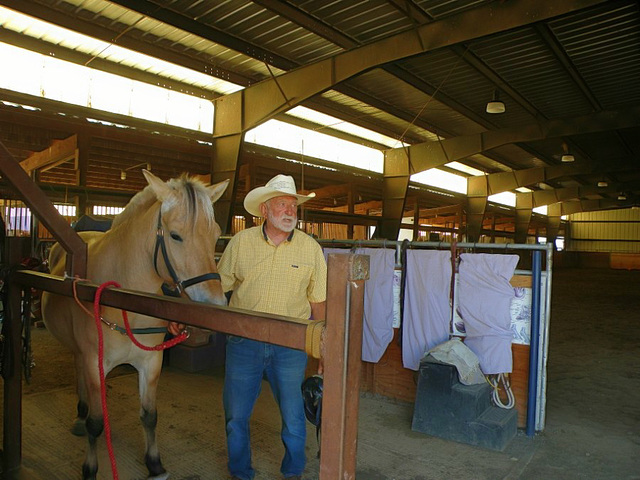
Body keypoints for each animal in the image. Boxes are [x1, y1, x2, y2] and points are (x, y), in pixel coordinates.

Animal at [41, 170, 230, 480]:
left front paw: (154, 464)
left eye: (215, 235)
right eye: (175, 235)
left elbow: (149, 416)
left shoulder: (151, 363)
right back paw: (81, 415)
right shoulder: (94, 361)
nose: (215, 304)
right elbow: (96, 423)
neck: (126, 300)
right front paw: (90, 468)